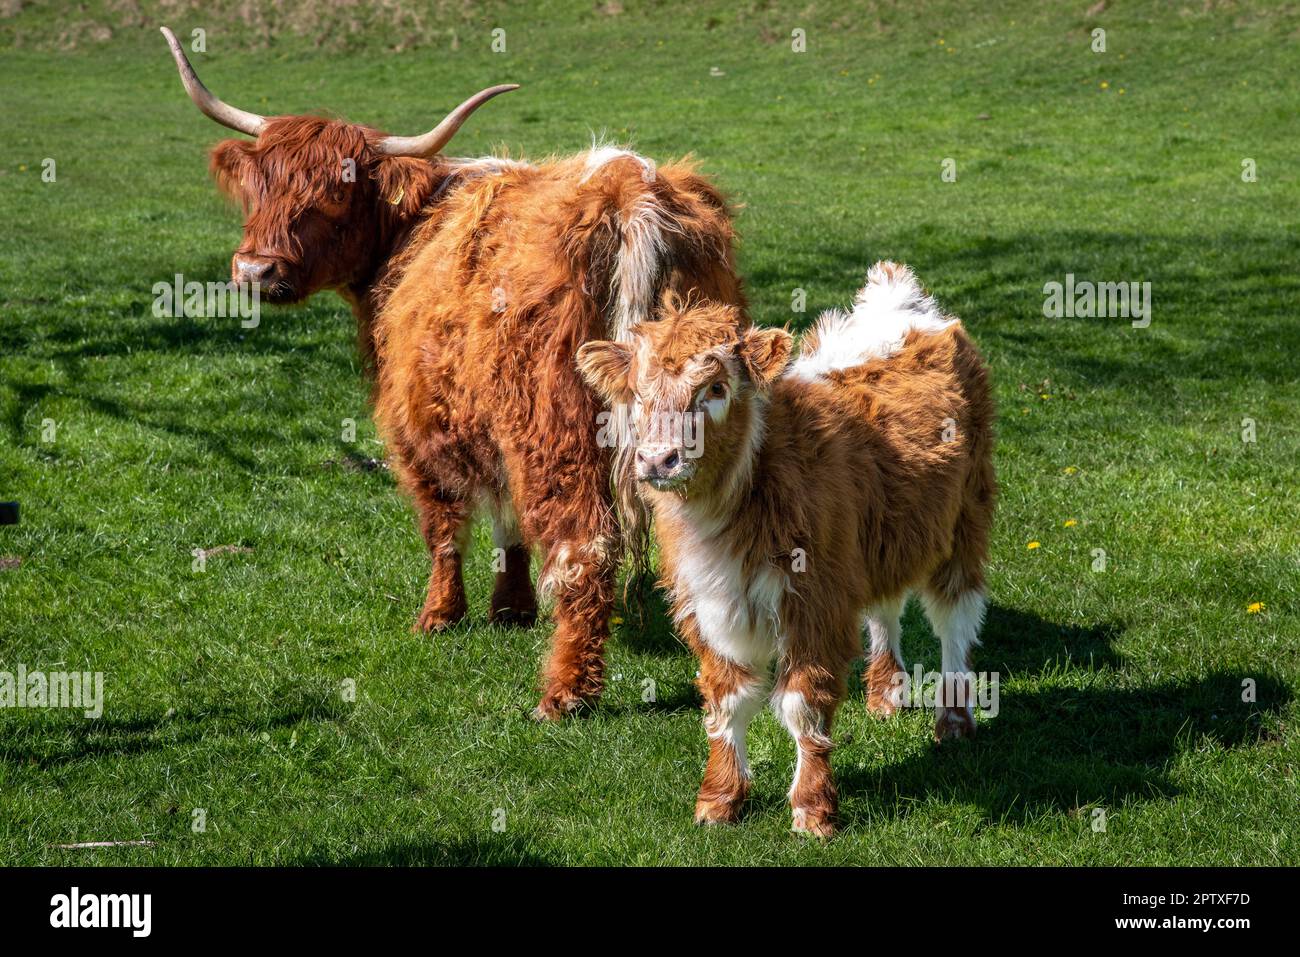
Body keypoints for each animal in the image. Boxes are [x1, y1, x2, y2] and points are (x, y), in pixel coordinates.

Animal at [162, 24, 748, 717]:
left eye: (335, 195)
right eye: (261, 187)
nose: (255, 270)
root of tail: (627, 191)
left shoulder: (419, 420)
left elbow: (444, 521)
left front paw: (440, 616)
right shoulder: (486, 418)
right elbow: (508, 519)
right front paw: (512, 608)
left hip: (556, 426)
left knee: (584, 545)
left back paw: (565, 693)